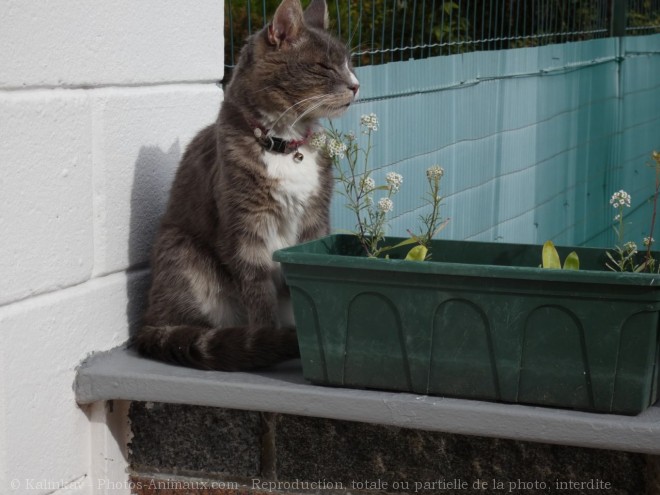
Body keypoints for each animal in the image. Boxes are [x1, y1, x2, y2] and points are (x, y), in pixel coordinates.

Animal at [132, 0, 358, 372]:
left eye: (348, 63)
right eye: (324, 66)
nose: (356, 84)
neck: (286, 145)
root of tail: (148, 321)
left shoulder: (315, 220)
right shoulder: (245, 229)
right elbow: (259, 294)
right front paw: (269, 341)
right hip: (180, 249)